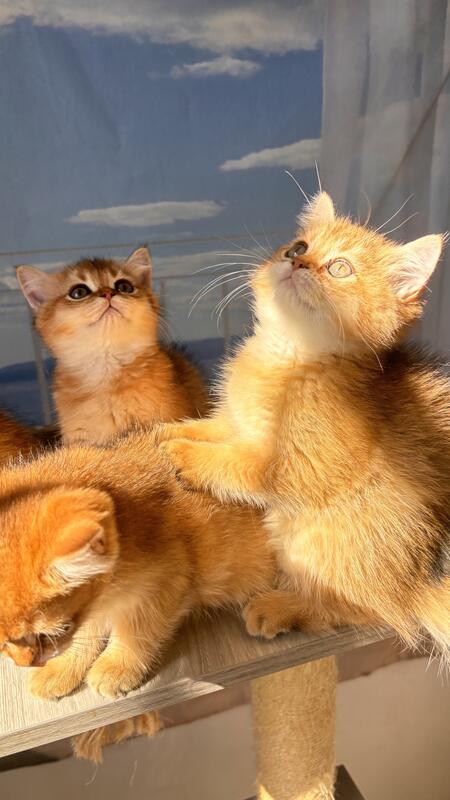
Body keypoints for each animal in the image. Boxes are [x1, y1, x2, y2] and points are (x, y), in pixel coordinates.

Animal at [0, 432, 274, 702]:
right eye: (2, 643)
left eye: (52, 634)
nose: (24, 662)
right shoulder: (94, 602)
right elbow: (89, 630)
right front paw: (62, 667)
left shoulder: (167, 581)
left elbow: (135, 632)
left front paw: (116, 666)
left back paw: (272, 610)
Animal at [157, 192, 450, 655]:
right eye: (298, 246)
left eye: (340, 267)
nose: (297, 261)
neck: (285, 355)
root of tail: (419, 580)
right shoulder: (239, 425)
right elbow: (215, 428)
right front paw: (170, 431)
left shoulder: (302, 467)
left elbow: (243, 466)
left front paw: (187, 456)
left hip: (312, 537)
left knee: (373, 611)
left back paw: (281, 606)